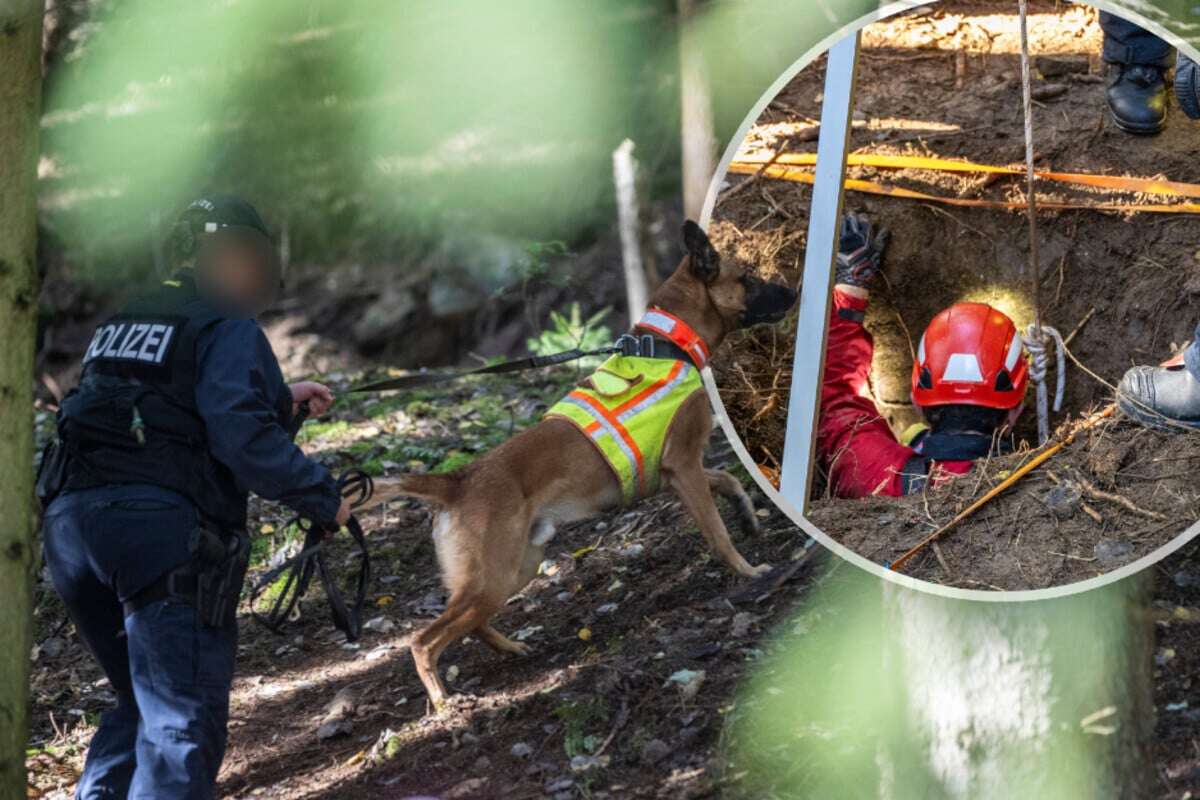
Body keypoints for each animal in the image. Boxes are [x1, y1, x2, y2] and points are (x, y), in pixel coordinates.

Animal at [364, 220, 796, 705]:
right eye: (749, 279)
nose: (794, 291)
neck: (666, 344)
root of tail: (457, 480)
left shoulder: (677, 473)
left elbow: (727, 480)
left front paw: (748, 515)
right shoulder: (683, 467)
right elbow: (718, 532)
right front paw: (747, 570)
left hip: (516, 569)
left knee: (471, 624)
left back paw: (510, 647)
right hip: (493, 576)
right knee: (424, 640)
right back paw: (442, 701)